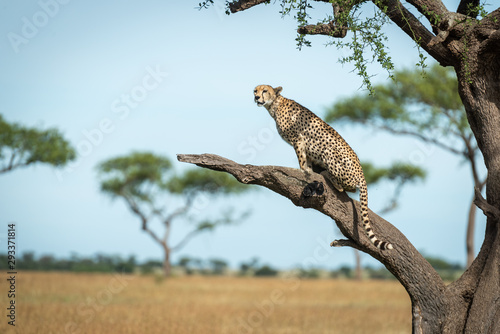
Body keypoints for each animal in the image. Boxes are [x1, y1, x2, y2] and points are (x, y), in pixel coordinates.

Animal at [256, 84, 392, 250]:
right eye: (255, 90)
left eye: (265, 91)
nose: (256, 97)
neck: (274, 105)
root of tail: (362, 173)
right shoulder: (303, 144)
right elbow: (306, 160)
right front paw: (308, 170)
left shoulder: (298, 140)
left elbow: (302, 160)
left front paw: (304, 171)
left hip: (329, 151)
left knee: (346, 187)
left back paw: (327, 175)